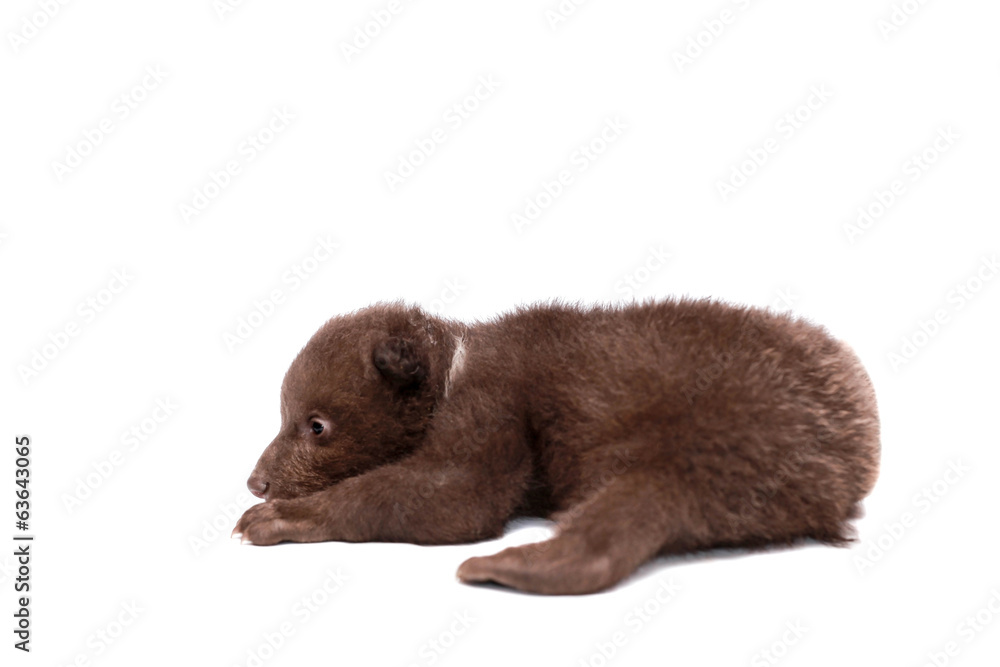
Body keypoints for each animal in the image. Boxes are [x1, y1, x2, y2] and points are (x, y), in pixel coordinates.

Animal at [233, 299, 880, 595]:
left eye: (315, 425)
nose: (256, 481)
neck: (456, 364)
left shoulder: (496, 395)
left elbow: (458, 491)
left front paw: (279, 515)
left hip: (715, 441)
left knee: (620, 525)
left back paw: (505, 565)